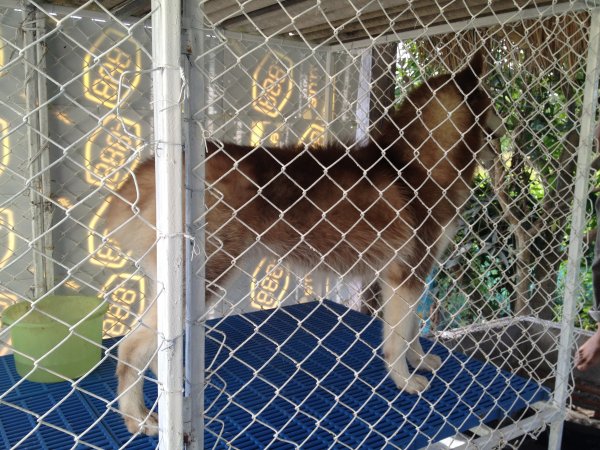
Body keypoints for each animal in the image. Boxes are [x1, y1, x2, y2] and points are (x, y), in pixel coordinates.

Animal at [105, 51, 505, 435]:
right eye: (493, 113)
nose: (503, 144)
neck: (415, 164)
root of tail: (150, 166)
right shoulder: (405, 276)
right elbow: (397, 339)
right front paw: (405, 381)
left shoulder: (408, 276)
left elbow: (411, 332)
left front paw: (420, 360)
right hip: (202, 277)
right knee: (130, 348)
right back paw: (138, 418)